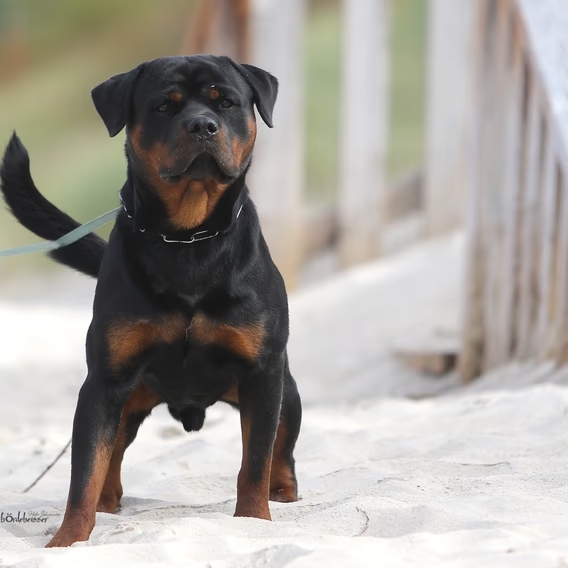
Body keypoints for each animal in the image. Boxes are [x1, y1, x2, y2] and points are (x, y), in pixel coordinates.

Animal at [0, 55, 302, 548]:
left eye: (226, 102)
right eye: (164, 106)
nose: (202, 125)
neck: (188, 238)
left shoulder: (262, 375)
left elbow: (254, 461)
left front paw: (253, 522)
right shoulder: (103, 384)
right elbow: (84, 472)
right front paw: (68, 541)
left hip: (285, 392)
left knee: (282, 450)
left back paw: (285, 492)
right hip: (129, 400)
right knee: (111, 461)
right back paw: (108, 503)